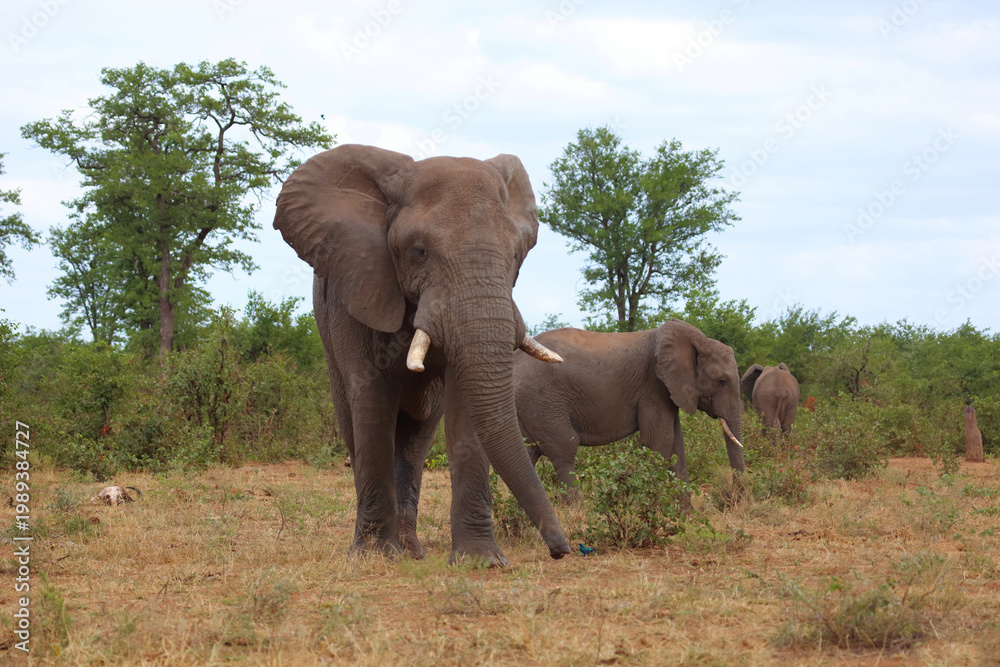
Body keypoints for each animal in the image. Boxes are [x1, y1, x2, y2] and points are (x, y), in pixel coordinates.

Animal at [273, 144, 571, 566]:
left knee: (415, 441)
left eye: (516, 254)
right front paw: (375, 557)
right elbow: (372, 399)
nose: (562, 550)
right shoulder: (359, 284)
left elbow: (466, 404)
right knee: (354, 427)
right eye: (419, 251)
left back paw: (412, 550)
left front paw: (480, 561)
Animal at [514, 320, 746, 493]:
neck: (698, 341)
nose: (731, 497)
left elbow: (676, 444)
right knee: (564, 450)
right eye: (722, 381)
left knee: (527, 455)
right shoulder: (653, 388)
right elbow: (658, 443)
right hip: (543, 403)